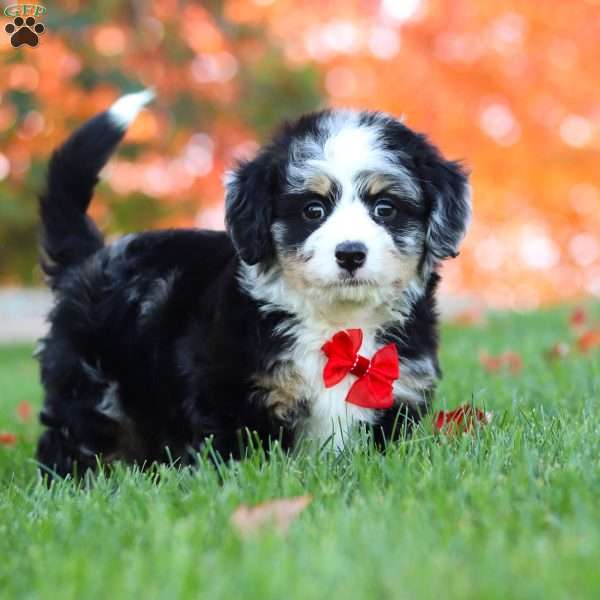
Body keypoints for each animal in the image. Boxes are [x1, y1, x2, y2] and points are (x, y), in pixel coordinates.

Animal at [35, 90, 472, 478]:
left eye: (385, 209)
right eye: (313, 210)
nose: (350, 253)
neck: (339, 328)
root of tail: (95, 256)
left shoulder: (399, 395)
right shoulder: (230, 392)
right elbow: (235, 458)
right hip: (89, 384)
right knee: (71, 438)